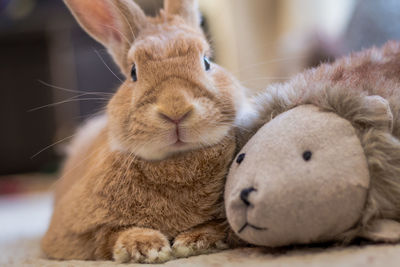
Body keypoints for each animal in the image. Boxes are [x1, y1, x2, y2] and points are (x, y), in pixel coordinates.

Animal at [41, 0, 260, 264]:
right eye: (133, 72)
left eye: (207, 62)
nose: (175, 109)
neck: (177, 163)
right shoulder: (74, 233)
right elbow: (108, 234)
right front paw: (147, 247)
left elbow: (220, 226)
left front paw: (193, 241)